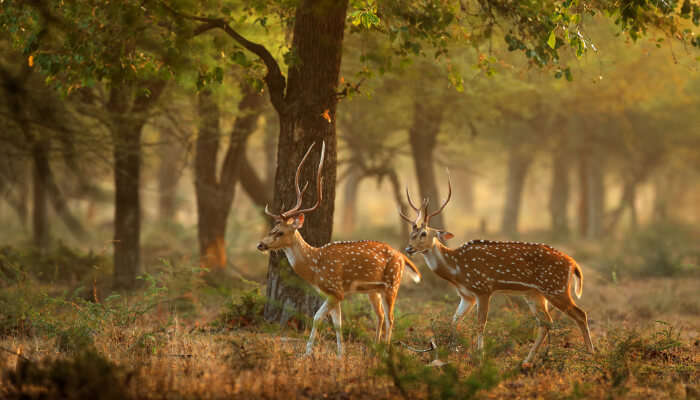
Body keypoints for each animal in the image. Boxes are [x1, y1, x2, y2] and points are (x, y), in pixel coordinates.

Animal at [258, 141, 422, 356]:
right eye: (272, 227)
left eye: (280, 232)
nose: (261, 244)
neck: (315, 267)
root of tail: (402, 256)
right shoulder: (332, 294)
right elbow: (337, 324)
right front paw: (340, 354)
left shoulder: (336, 290)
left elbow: (317, 317)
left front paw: (307, 353)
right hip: (374, 290)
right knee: (380, 316)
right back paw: (375, 348)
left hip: (392, 284)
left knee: (390, 318)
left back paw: (385, 351)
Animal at [402, 173, 592, 364]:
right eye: (411, 233)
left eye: (424, 233)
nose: (408, 248)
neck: (457, 270)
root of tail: (573, 264)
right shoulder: (467, 296)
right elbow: (454, 320)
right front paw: (452, 351)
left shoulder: (483, 288)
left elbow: (480, 324)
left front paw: (479, 355)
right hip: (534, 294)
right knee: (546, 322)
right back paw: (527, 361)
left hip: (555, 288)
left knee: (580, 314)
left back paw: (591, 354)